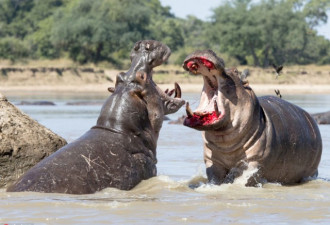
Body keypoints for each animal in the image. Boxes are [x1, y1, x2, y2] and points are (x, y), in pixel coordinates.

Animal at [182, 50, 320, 185]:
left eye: (236, 71)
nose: (206, 50)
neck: (226, 144)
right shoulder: (212, 161)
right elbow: (215, 178)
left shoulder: (255, 161)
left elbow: (244, 177)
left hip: (311, 171)